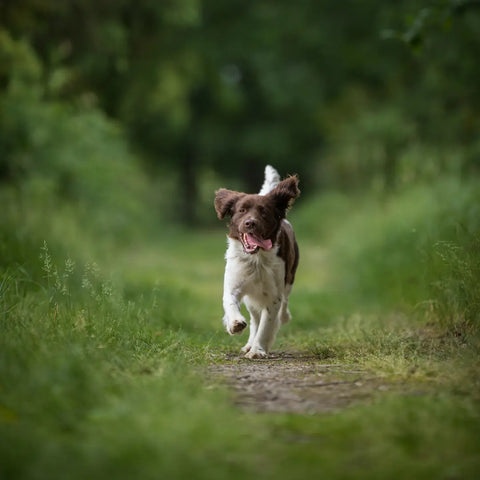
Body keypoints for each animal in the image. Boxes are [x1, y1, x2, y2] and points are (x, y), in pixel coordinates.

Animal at [215, 165, 300, 356]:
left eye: (264, 212)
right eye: (242, 210)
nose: (250, 223)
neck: (256, 259)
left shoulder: (274, 295)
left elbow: (266, 325)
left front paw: (258, 349)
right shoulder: (234, 284)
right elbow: (230, 303)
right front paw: (235, 324)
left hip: (289, 280)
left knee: (283, 306)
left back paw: (282, 318)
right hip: (251, 298)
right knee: (254, 318)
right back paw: (248, 343)